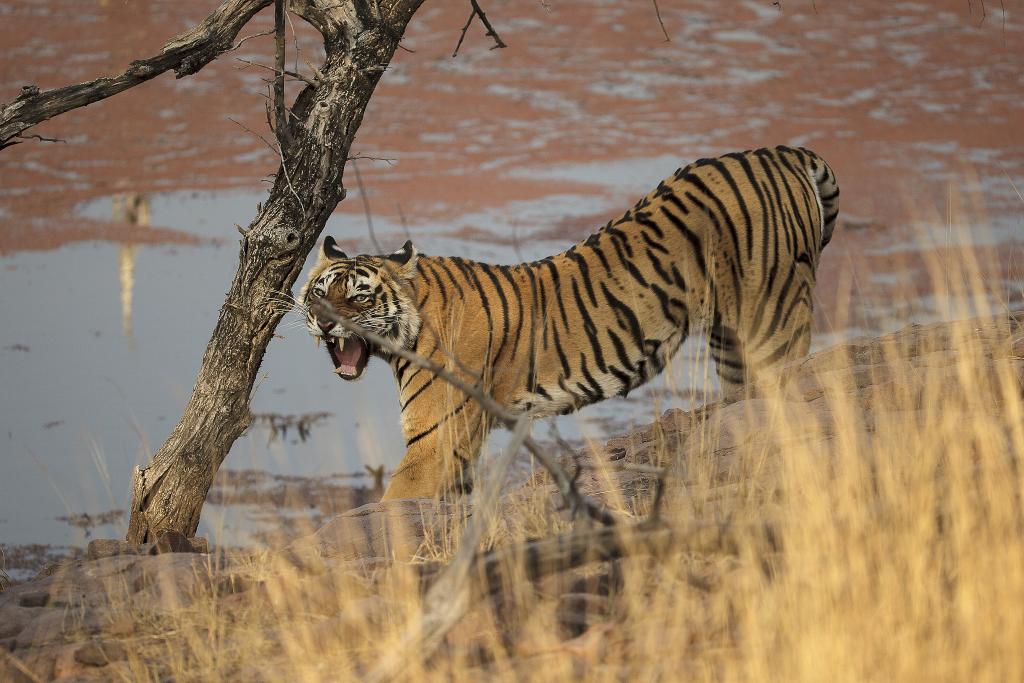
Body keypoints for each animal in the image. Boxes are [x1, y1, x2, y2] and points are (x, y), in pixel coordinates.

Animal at [299, 145, 839, 497]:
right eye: (319, 293)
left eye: (359, 297)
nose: (322, 324)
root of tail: (780, 152)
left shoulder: (435, 442)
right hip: (732, 342)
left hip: (771, 319)